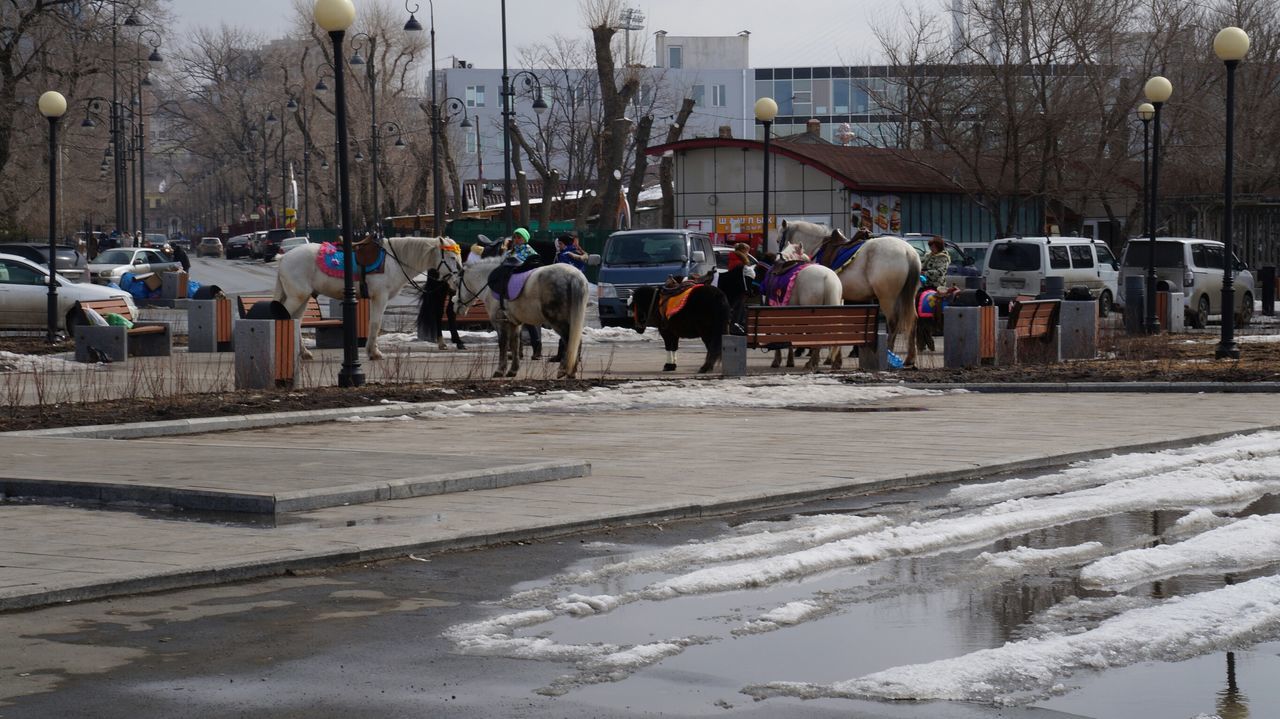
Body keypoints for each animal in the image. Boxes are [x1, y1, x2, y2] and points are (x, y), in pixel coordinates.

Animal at [272, 234, 463, 358]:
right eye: (452, 257)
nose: (458, 278)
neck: (394, 261)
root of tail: (283, 258)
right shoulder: (380, 296)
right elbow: (376, 323)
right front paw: (375, 352)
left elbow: (374, 323)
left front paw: (372, 350)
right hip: (297, 297)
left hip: (303, 298)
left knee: (296, 322)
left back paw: (303, 352)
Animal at [453, 257, 586, 381]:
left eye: (456, 283)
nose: (454, 305)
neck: (489, 282)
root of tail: (574, 275)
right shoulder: (514, 324)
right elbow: (515, 345)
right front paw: (512, 370)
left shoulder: (500, 322)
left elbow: (503, 344)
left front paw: (500, 370)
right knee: (576, 341)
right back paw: (570, 371)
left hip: (557, 320)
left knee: (569, 341)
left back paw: (564, 370)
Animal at [778, 217, 921, 363]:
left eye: (778, 240)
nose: (779, 260)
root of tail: (908, 252)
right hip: (905, 296)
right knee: (913, 320)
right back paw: (910, 358)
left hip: (887, 298)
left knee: (893, 322)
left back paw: (890, 353)